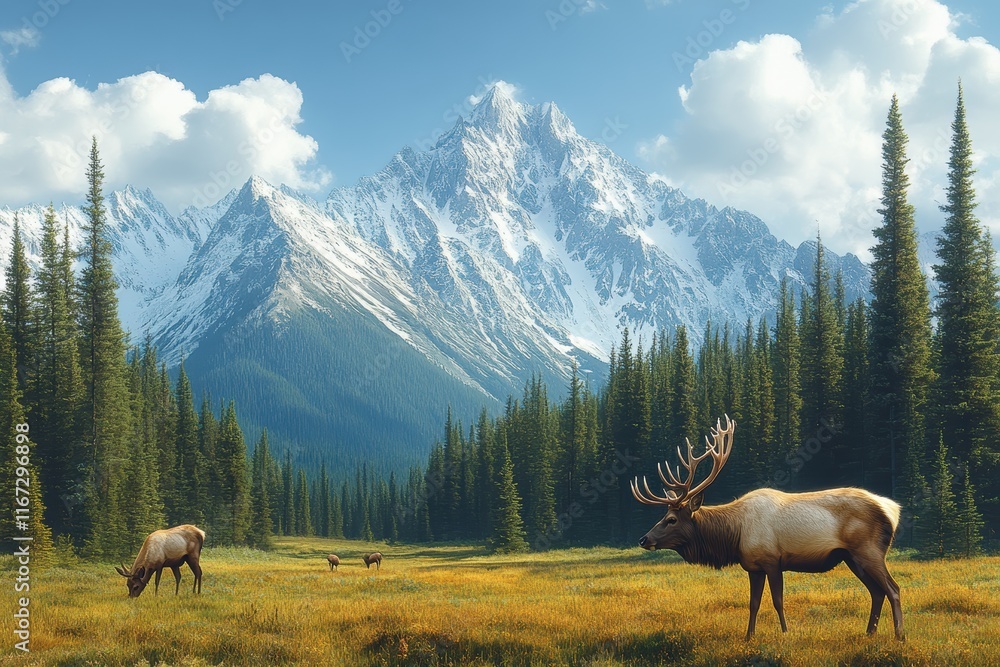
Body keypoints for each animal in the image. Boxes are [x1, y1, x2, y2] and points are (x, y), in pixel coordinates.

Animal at [632, 417, 904, 641]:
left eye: (671, 519)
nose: (643, 539)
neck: (735, 534)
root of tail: (893, 509)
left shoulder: (773, 560)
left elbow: (778, 601)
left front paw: (785, 632)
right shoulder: (753, 566)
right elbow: (753, 603)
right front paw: (748, 637)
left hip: (869, 550)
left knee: (893, 588)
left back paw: (899, 636)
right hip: (851, 557)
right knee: (876, 592)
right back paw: (869, 633)